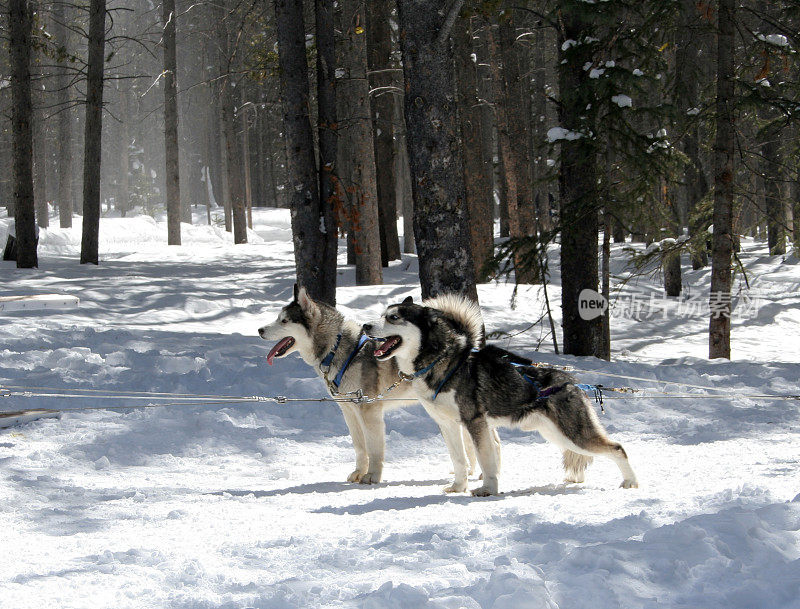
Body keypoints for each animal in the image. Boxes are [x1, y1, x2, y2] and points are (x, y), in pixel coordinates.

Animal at [258, 284, 482, 490]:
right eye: (278, 318)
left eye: (284, 321)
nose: (259, 330)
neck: (336, 347)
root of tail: (464, 341)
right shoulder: (349, 410)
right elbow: (360, 446)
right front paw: (359, 472)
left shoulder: (369, 410)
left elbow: (374, 449)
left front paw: (372, 475)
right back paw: (470, 471)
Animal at [366, 292, 640, 496]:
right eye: (381, 315)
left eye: (393, 317)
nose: (367, 325)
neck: (441, 361)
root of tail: (572, 382)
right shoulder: (448, 425)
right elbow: (459, 460)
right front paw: (458, 486)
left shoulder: (475, 423)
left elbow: (485, 460)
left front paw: (488, 488)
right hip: (558, 435)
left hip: (575, 434)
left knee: (618, 448)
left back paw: (630, 482)